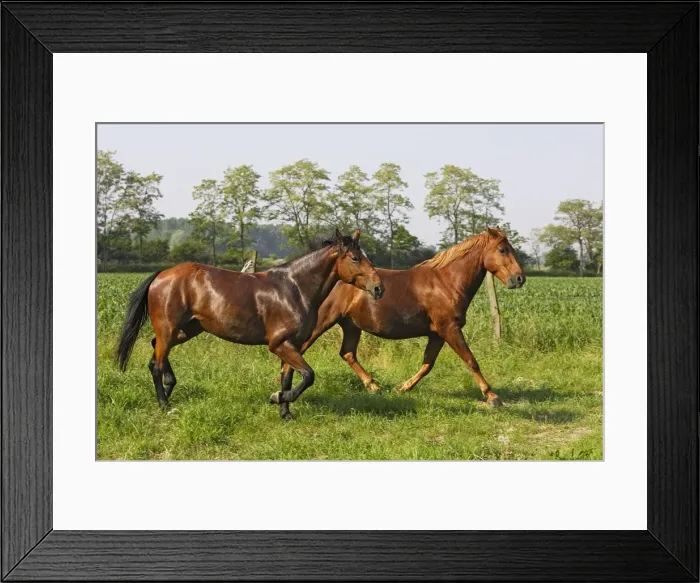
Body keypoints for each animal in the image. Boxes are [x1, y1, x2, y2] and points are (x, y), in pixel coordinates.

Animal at [115, 229, 384, 420]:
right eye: (355, 258)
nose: (379, 288)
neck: (294, 288)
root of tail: (161, 275)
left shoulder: (292, 344)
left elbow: (289, 377)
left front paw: (285, 413)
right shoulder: (279, 344)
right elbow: (308, 376)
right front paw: (276, 398)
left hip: (187, 329)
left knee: (155, 350)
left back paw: (169, 388)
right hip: (170, 329)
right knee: (156, 365)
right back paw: (165, 405)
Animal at [280, 227, 525, 406]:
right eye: (503, 250)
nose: (520, 279)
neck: (446, 282)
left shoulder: (438, 333)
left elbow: (427, 364)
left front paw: (403, 387)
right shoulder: (449, 329)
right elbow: (471, 361)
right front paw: (492, 397)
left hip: (351, 325)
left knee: (347, 354)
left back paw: (373, 386)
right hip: (321, 324)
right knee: (297, 351)